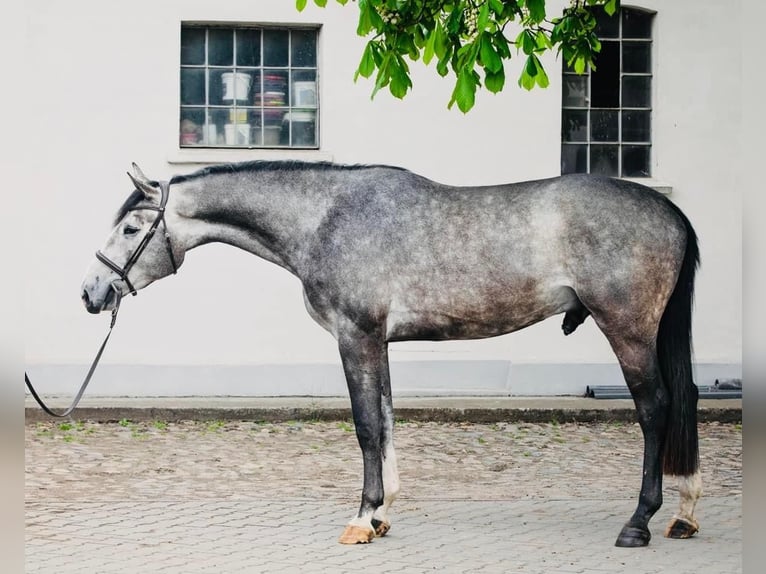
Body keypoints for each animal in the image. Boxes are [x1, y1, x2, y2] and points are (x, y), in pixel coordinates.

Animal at [82, 161, 704, 548]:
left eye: (133, 227)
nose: (91, 292)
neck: (325, 219)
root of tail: (670, 212)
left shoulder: (354, 336)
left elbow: (364, 426)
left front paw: (362, 518)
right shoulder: (376, 341)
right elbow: (384, 420)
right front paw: (381, 516)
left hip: (627, 330)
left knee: (655, 409)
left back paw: (639, 522)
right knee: (687, 399)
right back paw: (685, 512)